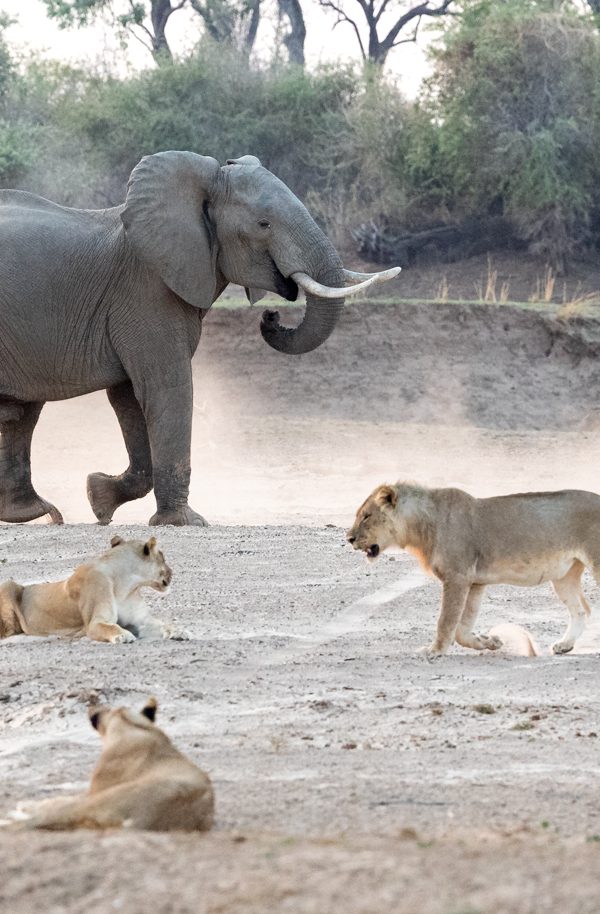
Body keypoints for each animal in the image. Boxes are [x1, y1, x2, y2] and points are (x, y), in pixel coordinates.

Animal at [0, 151, 400, 526]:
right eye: (264, 224)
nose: (270, 317)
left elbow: (129, 398)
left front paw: (98, 497)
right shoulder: (145, 291)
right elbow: (167, 386)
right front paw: (185, 522)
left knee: (22, 413)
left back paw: (34, 514)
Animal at [0, 535, 188, 643]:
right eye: (163, 558)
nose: (172, 572)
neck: (126, 586)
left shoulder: (140, 621)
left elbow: (163, 624)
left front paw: (180, 631)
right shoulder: (95, 622)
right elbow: (110, 627)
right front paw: (123, 635)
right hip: (8, 584)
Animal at [6, 698, 214, 831]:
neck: (130, 726)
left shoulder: (96, 790)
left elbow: (60, 799)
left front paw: (26, 805)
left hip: (101, 800)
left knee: (44, 818)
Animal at [347, 481, 599, 658]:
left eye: (367, 516)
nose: (349, 538)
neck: (421, 527)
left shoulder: (457, 577)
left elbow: (446, 620)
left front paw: (434, 651)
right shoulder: (475, 582)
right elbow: (463, 627)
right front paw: (489, 642)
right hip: (564, 576)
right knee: (581, 610)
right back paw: (565, 645)